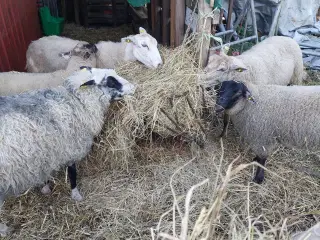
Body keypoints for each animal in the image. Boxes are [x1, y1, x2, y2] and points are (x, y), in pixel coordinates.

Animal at [0, 65, 135, 236]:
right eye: (111, 81)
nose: (134, 87)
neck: (76, 101)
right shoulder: (71, 147)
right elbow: (72, 173)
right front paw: (75, 194)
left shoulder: (45, 152)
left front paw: (45, 187)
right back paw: (4, 230)